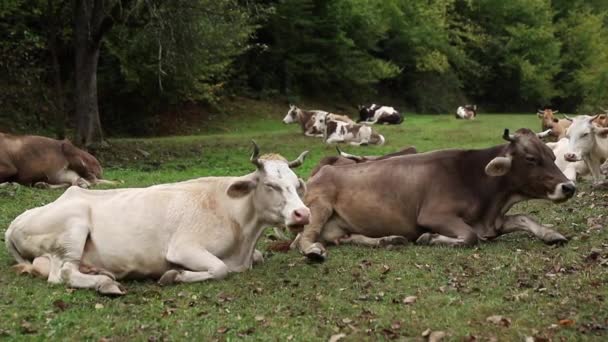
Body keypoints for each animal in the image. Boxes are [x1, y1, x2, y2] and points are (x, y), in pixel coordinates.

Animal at [8, 143, 314, 296]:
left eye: (296, 185)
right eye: (270, 185)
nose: (303, 214)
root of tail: (14, 223)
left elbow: (258, 258)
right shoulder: (183, 248)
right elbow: (219, 269)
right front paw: (173, 275)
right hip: (74, 226)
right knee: (64, 274)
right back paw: (105, 284)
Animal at [296, 127, 576, 260]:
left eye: (552, 157)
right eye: (531, 159)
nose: (569, 187)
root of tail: (321, 171)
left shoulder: (492, 222)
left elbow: (525, 217)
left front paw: (551, 234)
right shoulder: (434, 215)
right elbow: (469, 236)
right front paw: (430, 238)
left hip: (341, 226)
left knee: (346, 238)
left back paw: (389, 240)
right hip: (318, 208)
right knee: (304, 239)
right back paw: (313, 251)